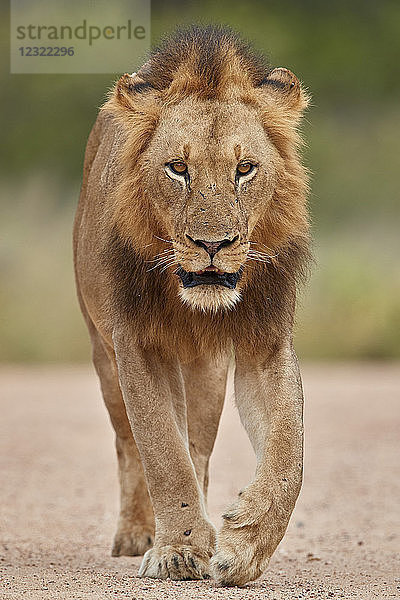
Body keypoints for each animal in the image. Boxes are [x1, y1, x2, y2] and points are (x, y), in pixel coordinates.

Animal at [73, 24, 310, 584]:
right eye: (178, 168)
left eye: (245, 168)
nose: (213, 244)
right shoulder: (135, 345)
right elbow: (162, 452)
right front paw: (178, 551)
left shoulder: (265, 344)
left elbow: (288, 455)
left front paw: (244, 545)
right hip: (104, 357)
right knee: (130, 446)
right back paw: (139, 533)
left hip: (207, 372)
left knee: (198, 448)